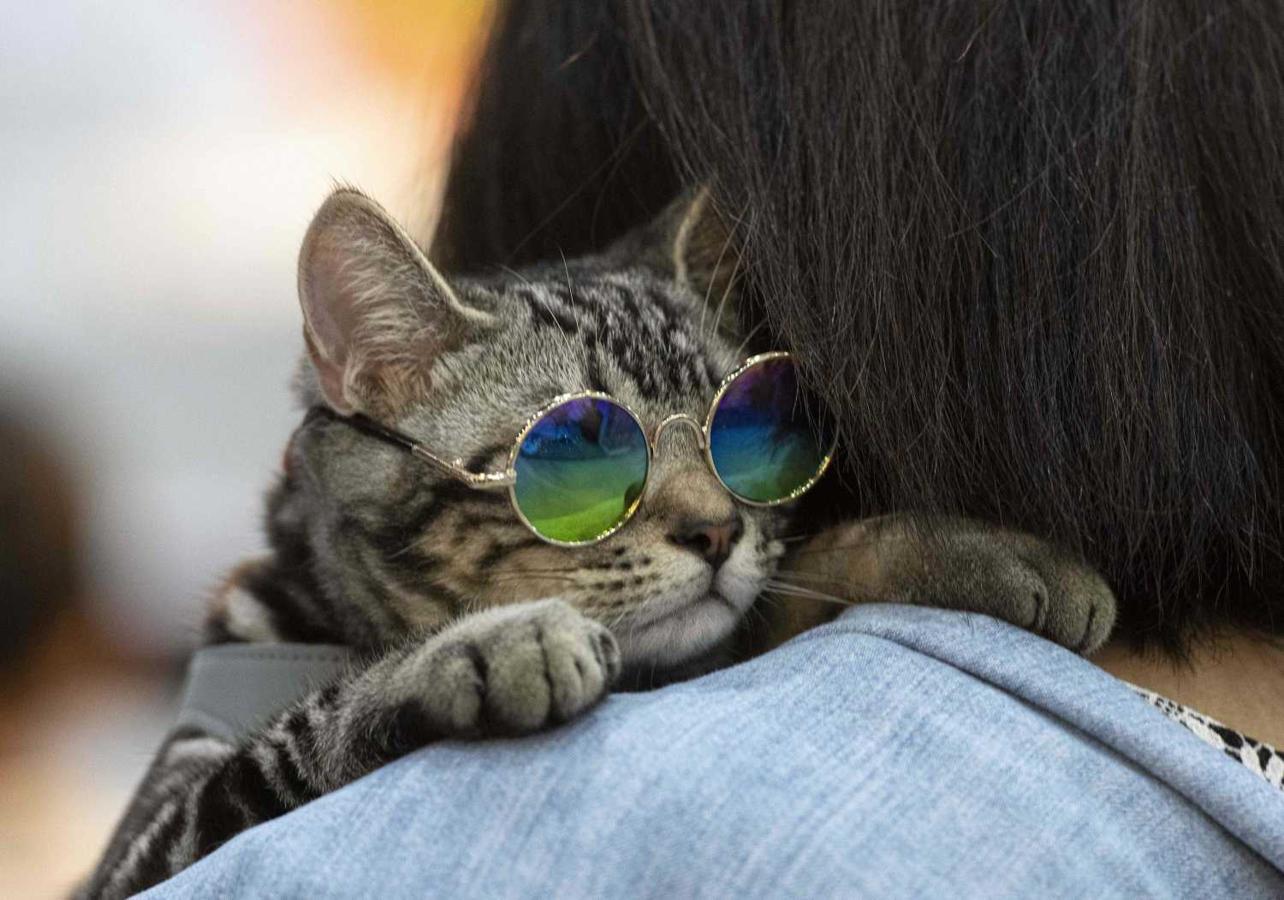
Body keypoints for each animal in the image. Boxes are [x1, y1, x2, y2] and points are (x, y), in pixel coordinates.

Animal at [85, 186, 1119, 893]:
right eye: (580, 453)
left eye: (747, 432)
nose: (716, 529)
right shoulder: (151, 842)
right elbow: (297, 736)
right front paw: (487, 646)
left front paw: (964, 550)